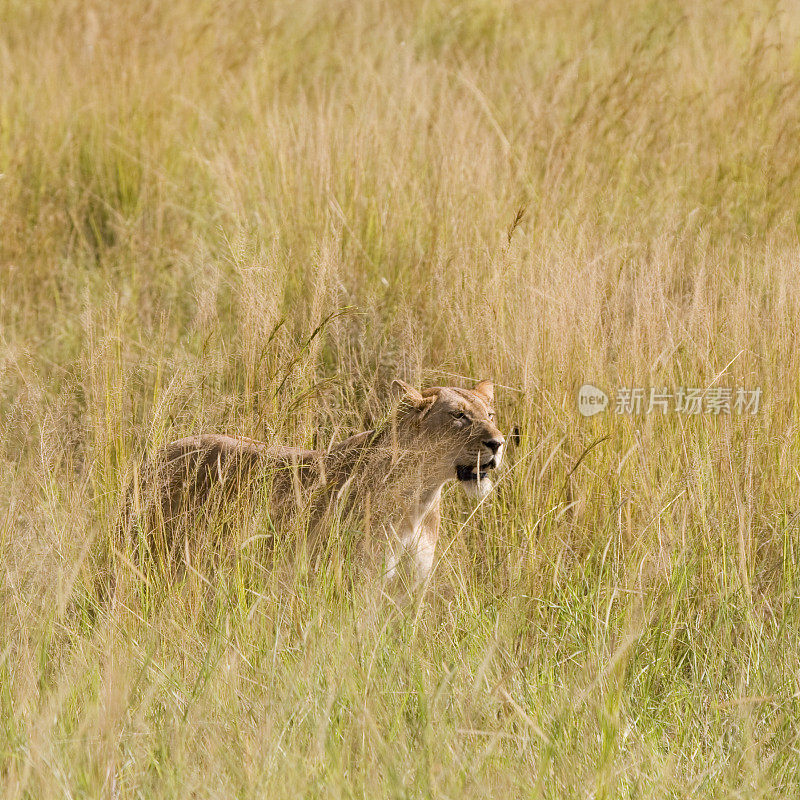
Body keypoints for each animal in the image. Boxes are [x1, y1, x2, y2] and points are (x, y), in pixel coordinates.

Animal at [122, 378, 504, 584]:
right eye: (459, 416)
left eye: (490, 415)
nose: (498, 443)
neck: (421, 493)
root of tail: (154, 456)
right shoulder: (361, 580)